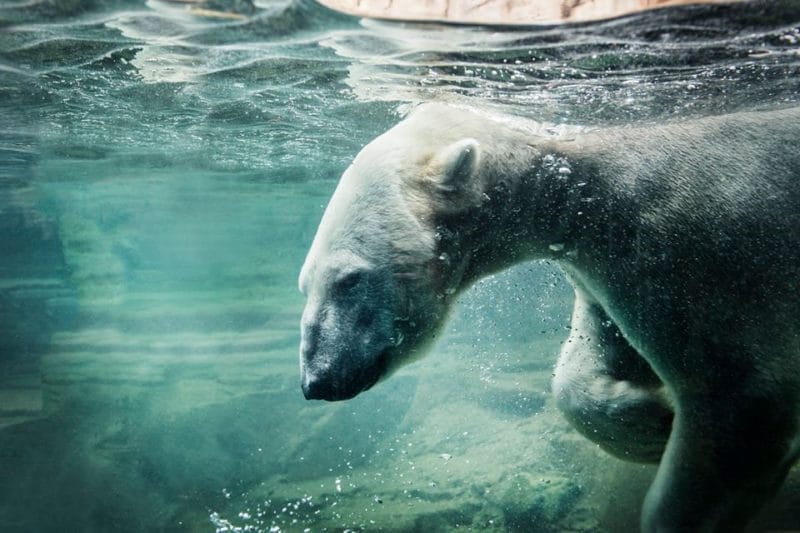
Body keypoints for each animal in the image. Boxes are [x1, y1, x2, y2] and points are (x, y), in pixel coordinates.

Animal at [298, 102, 800, 532]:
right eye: (305, 284)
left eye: (350, 279)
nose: (317, 380)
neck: (586, 191)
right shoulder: (605, 271)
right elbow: (599, 352)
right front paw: (648, 422)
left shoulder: (692, 255)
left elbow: (739, 393)